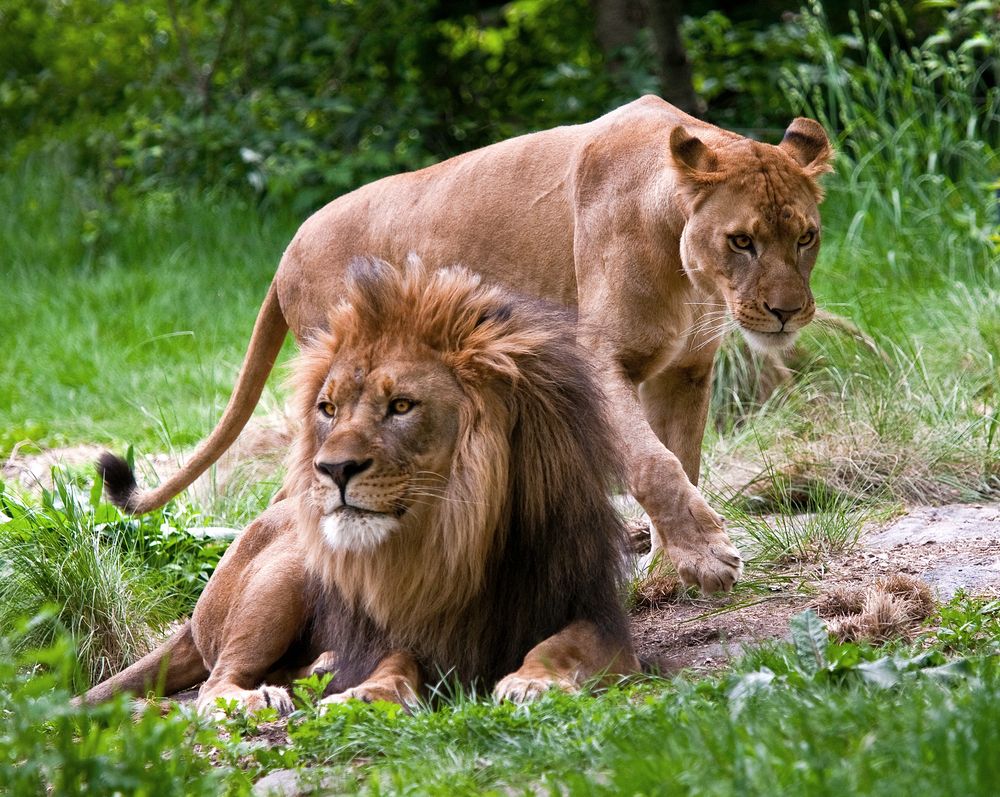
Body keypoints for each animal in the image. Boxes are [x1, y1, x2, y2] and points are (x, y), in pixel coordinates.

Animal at [85, 259, 639, 711]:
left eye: (401, 406)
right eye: (328, 409)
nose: (332, 469)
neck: (458, 532)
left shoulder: (598, 617)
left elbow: (557, 646)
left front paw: (531, 682)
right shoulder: (404, 625)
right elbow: (395, 661)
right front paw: (368, 692)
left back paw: (321, 667)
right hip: (286, 568)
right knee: (214, 683)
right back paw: (260, 696)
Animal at [99, 95, 833, 594]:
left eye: (806, 236)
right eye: (741, 240)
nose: (786, 312)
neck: (685, 263)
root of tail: (285, 253)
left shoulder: (684, 372)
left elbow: (683, 460)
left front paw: (666, 568)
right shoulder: (601, 358)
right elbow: (653, 463)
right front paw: (707, 556)